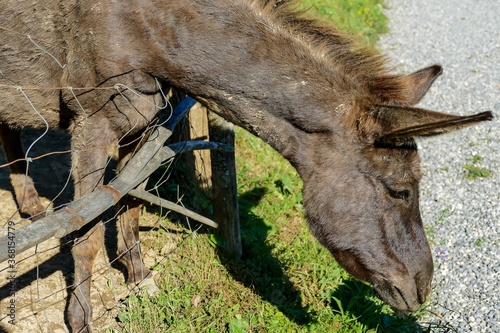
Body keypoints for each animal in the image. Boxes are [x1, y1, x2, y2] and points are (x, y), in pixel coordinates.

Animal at [0, 0, 492, 330]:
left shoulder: (142, 124)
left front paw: (138, 276)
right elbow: (84, 233)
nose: (421, 289)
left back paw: (30, 206)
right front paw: (80, 317)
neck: (149, 29)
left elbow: (130, 206)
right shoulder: (92, 124)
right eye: (400, 190)